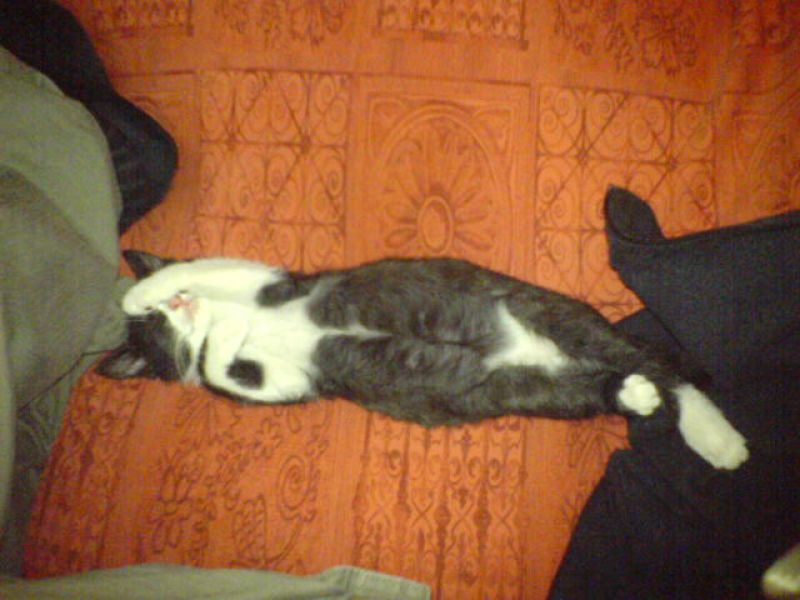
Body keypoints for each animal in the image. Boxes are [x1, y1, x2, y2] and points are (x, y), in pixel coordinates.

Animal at [97, 250, 749, 471]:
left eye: (160, 317)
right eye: (159, 334)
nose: (176, 306)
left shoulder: (266, 282)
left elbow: (204, 268)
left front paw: (140, 290)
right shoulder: (288, 381)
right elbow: (221, 368)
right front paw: (215, 337)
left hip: (562, 317)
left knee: (663, 367)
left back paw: (716, 438)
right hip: (532, 392)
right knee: (608, 387)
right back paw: (631, 394)